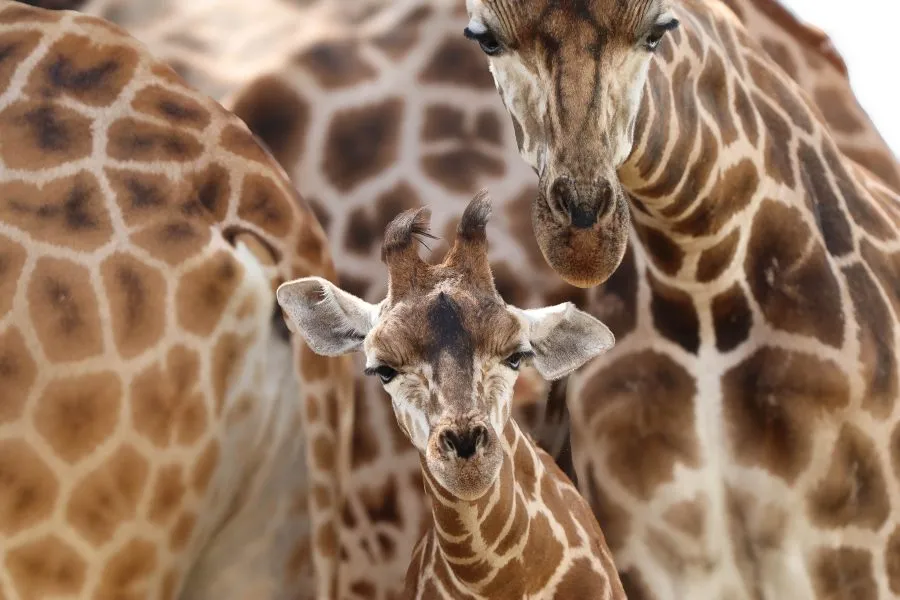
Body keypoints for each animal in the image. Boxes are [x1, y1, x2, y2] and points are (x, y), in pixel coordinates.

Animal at [463, 0, 900, 597]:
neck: (703, 287)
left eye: (658, 30)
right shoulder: (662, 559)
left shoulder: (856, 553)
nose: (583, 234)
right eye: (485, 39)